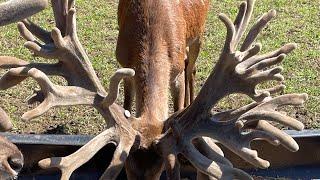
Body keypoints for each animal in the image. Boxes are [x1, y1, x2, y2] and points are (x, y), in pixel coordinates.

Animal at [0, 0, 308, 179]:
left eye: (160, 171)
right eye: (125, 168)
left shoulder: (176, 71)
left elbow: (179, 103)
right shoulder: (124, 60)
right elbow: (126, 97)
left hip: (197, 37)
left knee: (193, 68)